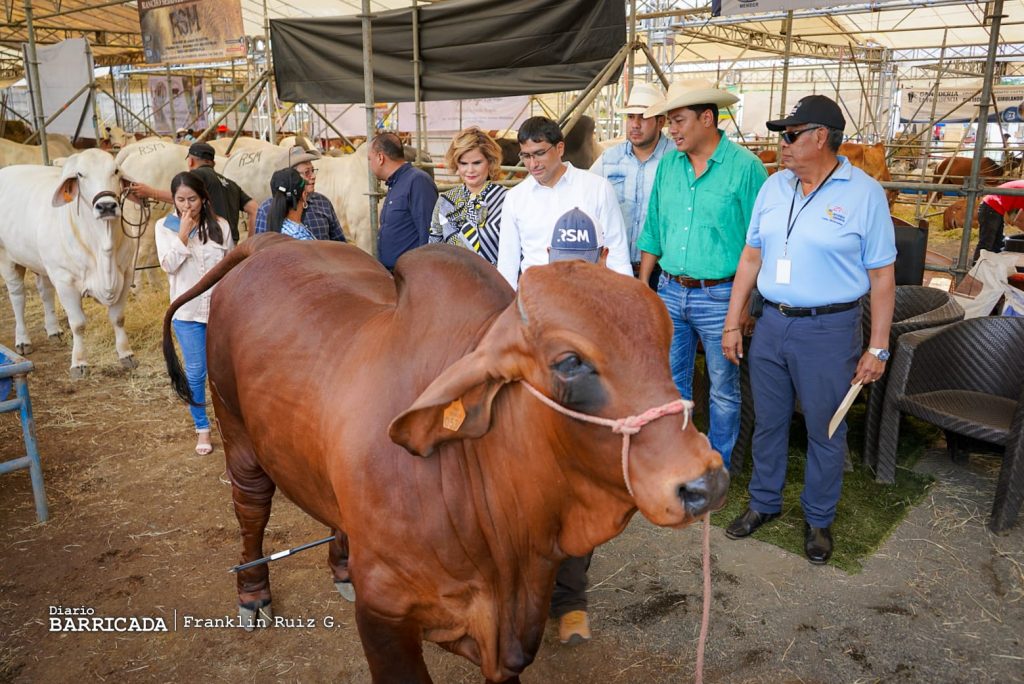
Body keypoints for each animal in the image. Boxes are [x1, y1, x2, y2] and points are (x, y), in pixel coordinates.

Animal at [0, 148, 139, 378]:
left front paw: (126, 354)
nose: (106, 206)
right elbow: (78, 324)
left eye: (116, 171)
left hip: (43, 265)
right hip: (8, 260)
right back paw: (23, 340)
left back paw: (53, 330)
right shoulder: (65, 282)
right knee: (18, 298)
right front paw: (79, 363)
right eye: (80, 175)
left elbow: (118, 318)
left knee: (45, 292)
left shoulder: (126, 274)